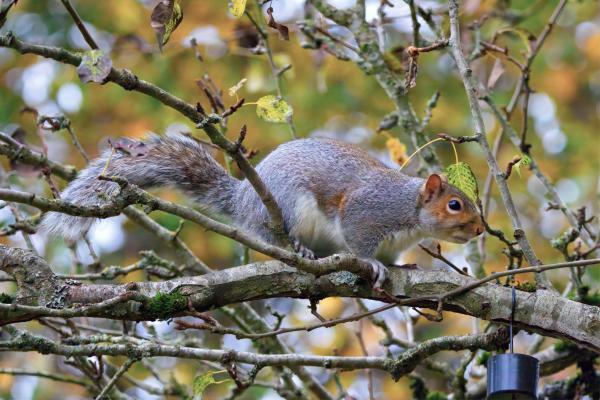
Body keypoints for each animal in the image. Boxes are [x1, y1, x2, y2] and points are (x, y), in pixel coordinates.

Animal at [43, 134, 482, 288]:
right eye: (455, 204)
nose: (480, 230)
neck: (410, 212)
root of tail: (244, 199)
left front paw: (400, 266)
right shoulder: (367, 211)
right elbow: (359, 243)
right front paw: (372, 264)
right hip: (287, 207)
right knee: (277, 239)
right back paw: (299, 250)